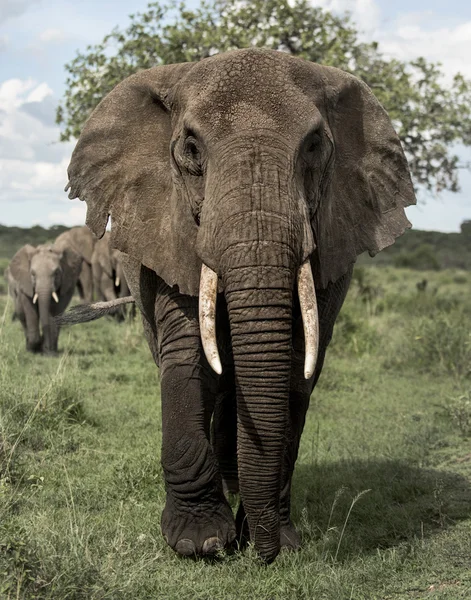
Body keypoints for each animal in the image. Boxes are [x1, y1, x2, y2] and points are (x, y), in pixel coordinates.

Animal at [63, 48, 416, 564]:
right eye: (191, 148)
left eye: (315, 146)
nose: (261, 553)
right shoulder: (170, 228)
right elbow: (190, 356)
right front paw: (202, 543)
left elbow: (295, 367)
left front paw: (279, 541)